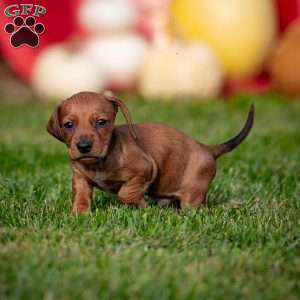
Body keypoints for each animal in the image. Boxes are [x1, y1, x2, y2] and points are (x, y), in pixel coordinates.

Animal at [46, 91, 253, 213]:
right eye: (68, 125)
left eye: (101, 122)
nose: (83, 146)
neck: (100, 162)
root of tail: (206, 148)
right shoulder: (80, 177)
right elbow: (81, 196)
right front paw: (79, 214)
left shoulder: (146, 168)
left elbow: (125, 193)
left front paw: (142, 205)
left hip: (193, 195)